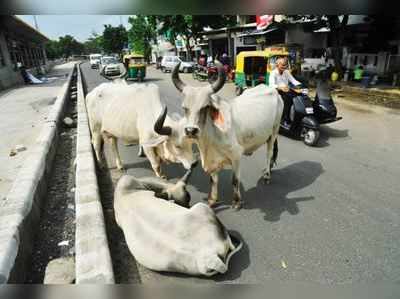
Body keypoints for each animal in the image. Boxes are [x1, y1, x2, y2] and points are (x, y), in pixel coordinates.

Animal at [171, 61, 282, 211]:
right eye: (185, 108)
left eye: (205, 107)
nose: (190, 130)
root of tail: (273, 91)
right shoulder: (212, 160)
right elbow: (213, 179)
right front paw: (212, 200)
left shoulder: (236, 155)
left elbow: (235, 180)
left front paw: (237, 202)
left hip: (275, 131)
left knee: (269, 153)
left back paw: (267, 175)